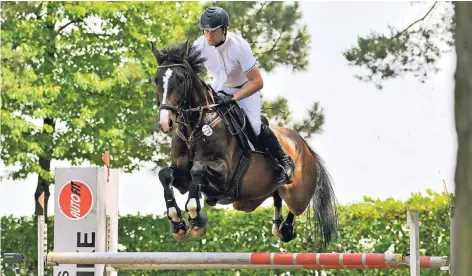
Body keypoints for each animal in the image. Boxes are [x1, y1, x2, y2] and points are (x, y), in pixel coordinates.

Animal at [151, 39, 340, 248]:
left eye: (181, 79)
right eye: (156, 80)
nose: (165, 122)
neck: (194, 127)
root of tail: (305, 147)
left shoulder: (223, 174)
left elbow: (197, 170)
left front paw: (196, 219)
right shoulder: (182, 178)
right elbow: (165, 174)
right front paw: (178, 222)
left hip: (298, 193)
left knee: (294, 205)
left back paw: (286, 222)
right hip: (247, 201)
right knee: (276, 197)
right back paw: (279, 226)